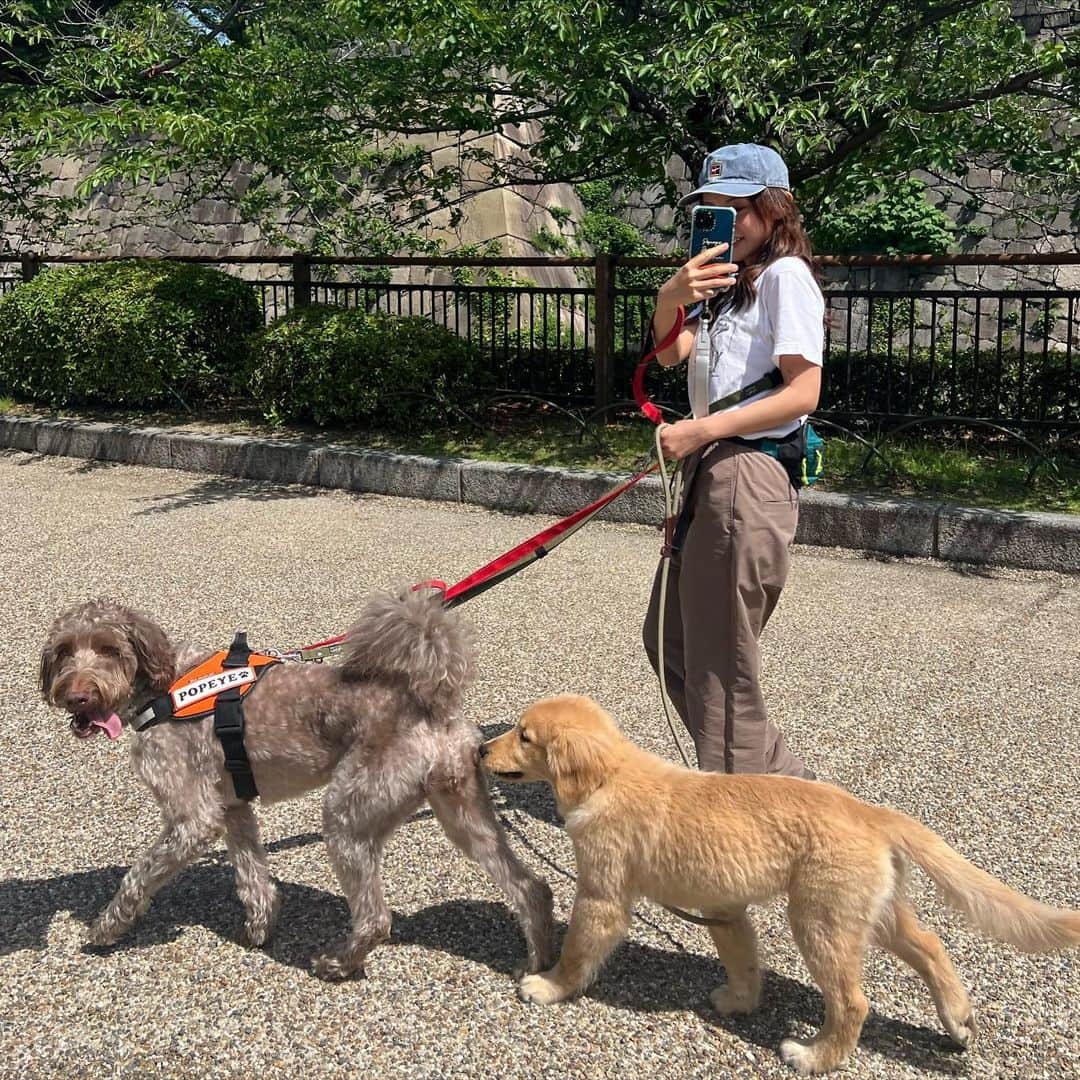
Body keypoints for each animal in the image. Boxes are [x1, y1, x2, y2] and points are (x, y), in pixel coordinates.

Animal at [481, 695, 1080, 1075]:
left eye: (524, 735)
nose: (479, 751)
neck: (610, 777)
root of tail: (872, 813)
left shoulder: (602, 896)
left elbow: (579, 951)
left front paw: (548, 986)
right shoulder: (725, 907)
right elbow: (743, 959)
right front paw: (741, 1001)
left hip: (819, 919)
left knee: (853, 1001)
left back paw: (815, 1057)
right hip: (869, 911)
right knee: (931, 946)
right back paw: (957, 1020)